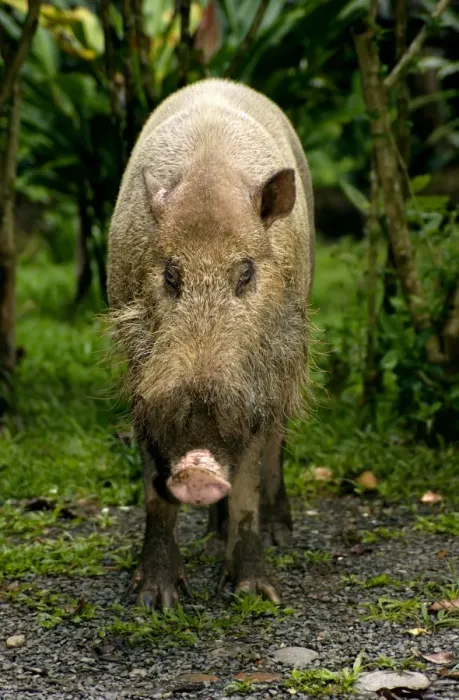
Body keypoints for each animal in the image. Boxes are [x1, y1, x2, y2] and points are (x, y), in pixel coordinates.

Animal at [107, 78, 315, 609]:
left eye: (246, 273)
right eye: (170, 274)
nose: (197, 471)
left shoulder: (258, 384)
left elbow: (246, 487)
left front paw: (257, 596)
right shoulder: (145, 383)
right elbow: (154, 492)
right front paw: (155, 602)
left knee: (277, 443)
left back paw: (280, 534)